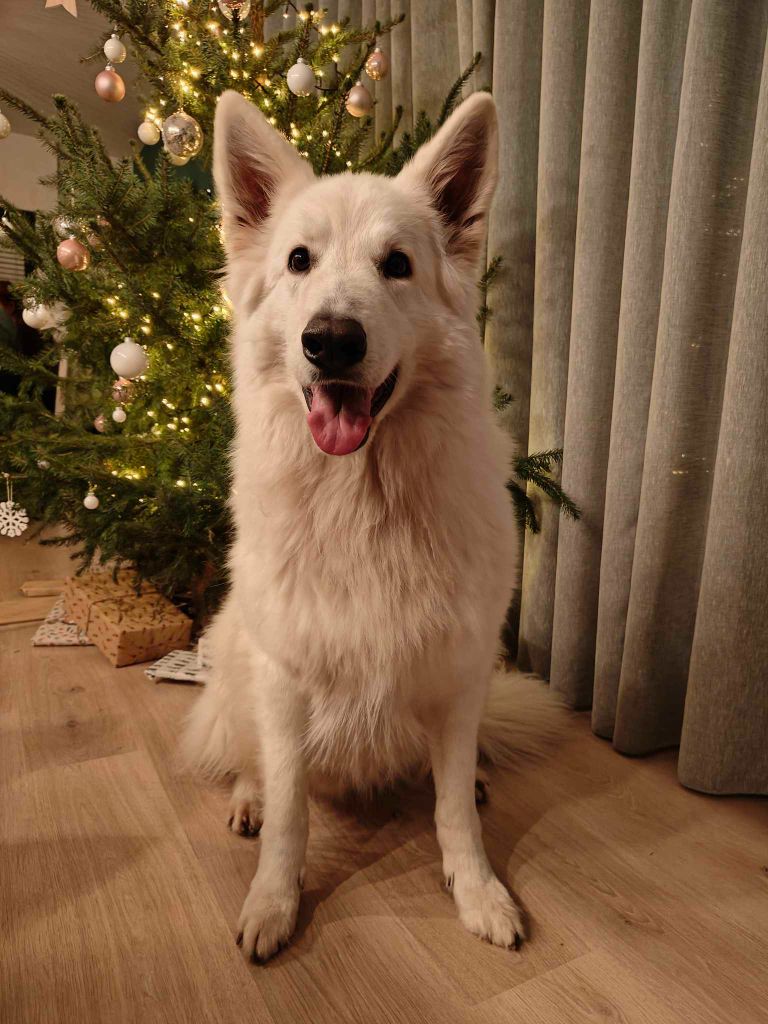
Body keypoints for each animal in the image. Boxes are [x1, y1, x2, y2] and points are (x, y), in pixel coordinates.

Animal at [182, 89, 558, 962]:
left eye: (397, 264)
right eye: (298, 261)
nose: (331, 341)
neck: (363, 501)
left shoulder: (459, 669)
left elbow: (449, 808)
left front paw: (477, 889)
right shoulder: (285, 678)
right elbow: (292, 811)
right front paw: (275, 901)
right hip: (232, 658)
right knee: (249, 759)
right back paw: (247, 797)